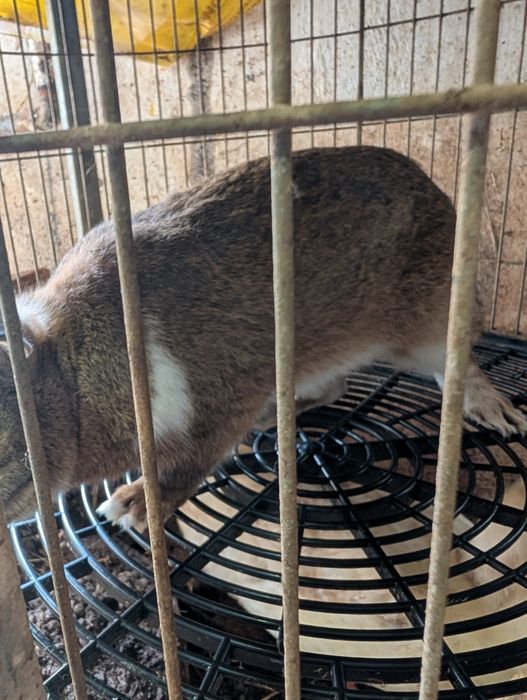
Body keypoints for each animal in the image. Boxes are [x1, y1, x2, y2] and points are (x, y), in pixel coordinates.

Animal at [0, 146, 526, 526]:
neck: (74, 373)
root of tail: (441, 197)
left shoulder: (214, 412)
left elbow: (186, 470)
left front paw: (129, 507)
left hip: (425, 331)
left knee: (456, 365)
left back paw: (495, 411)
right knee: (335, 386)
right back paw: (274, 416)